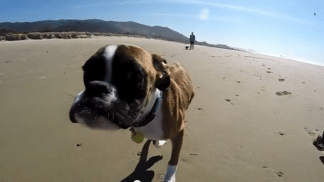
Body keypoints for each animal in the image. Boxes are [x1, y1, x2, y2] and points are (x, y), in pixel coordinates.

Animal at [69, 44, 194, 182]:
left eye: (134, 79)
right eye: (86, 71)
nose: (95, 86)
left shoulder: (180, 131)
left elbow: (173, 159)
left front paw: (169, 178)